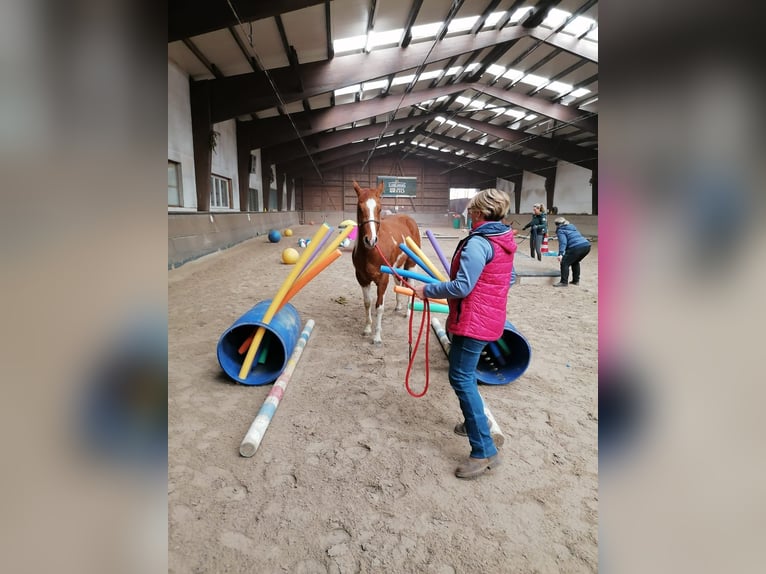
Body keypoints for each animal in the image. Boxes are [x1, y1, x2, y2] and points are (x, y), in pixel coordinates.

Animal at [352, 182, 420, 344]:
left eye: (379, 208)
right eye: (359, 208)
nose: (370, 240)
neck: (371, 252)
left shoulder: (383, 279)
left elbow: (379, 306)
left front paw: (377, 337)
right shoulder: (362, 279)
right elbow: (367, 303)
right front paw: (367, 329)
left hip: (411, 264)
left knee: (411, 285)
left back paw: (408, 312)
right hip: (396, 267)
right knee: (399, 283)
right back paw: (398, 306)